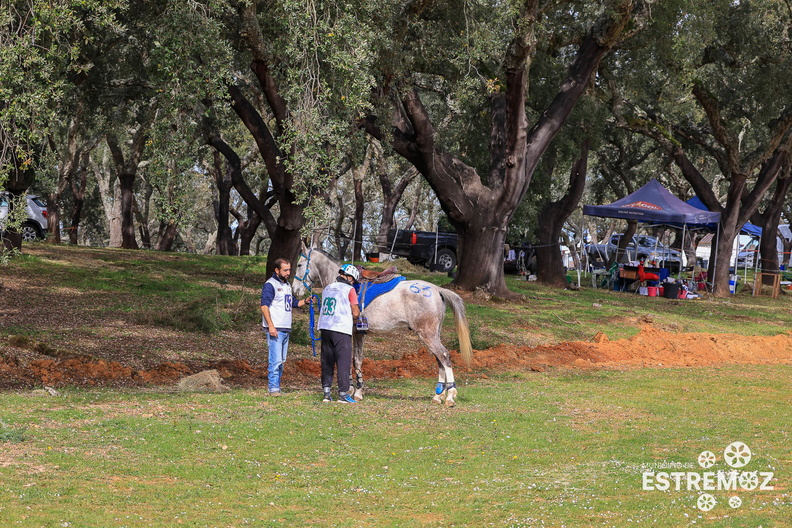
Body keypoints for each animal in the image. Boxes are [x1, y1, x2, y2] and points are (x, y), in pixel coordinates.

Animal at [294, 245, 474, 406]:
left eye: (299, 265)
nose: (295, 290)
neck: (344, 283)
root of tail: (437, 289)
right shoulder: (358, 333)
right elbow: (357, 360)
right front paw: (357, 390)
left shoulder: (351, 333)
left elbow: (351, 360)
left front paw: (353, 390)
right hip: (433, 335)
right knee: (439, 360)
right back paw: (438, 395)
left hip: (428, 335)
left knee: (444, 357)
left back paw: (450, 395)